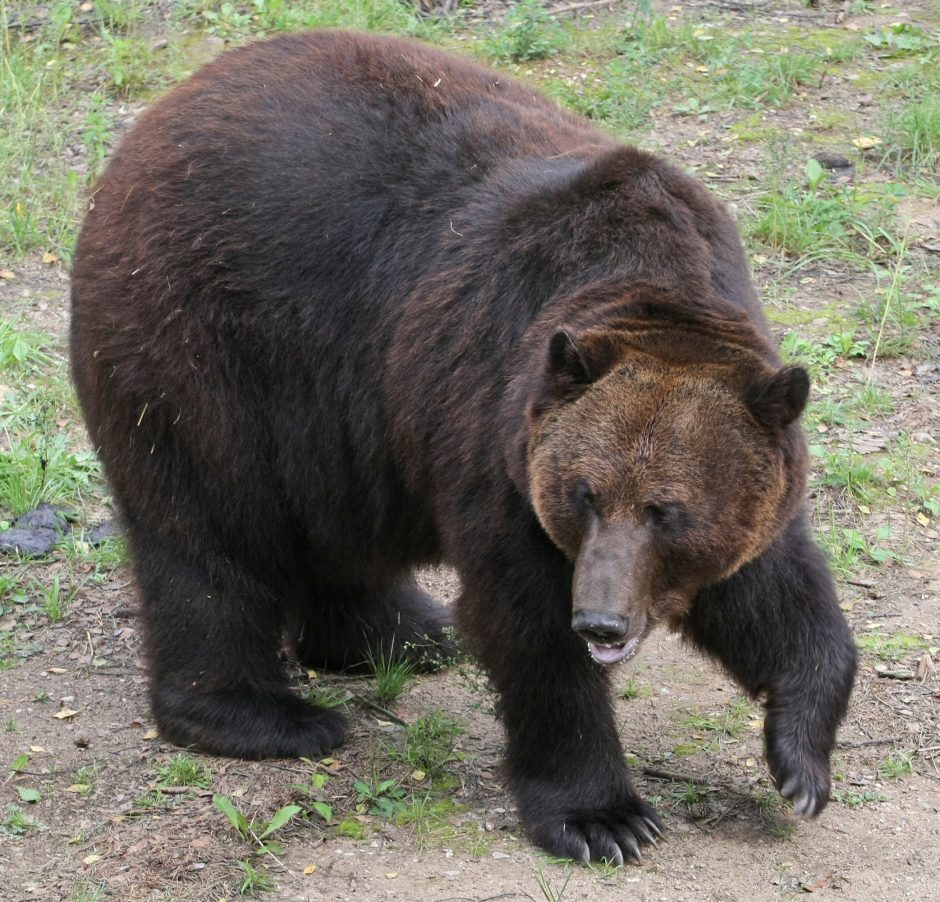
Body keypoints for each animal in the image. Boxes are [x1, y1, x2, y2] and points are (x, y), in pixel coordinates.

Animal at [70, 31, 856, 864]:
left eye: (665, 511)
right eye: (583, 495)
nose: (602, 622)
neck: (652, 277)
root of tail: (153, 120)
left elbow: (774, 592)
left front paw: (801, 766)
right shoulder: (495, 426)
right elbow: (528, 623)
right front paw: (602, 818)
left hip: (339, 416)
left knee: (335, 530)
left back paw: (403, 632)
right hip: (204, 349)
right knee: (212, 532)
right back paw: (262, 713)